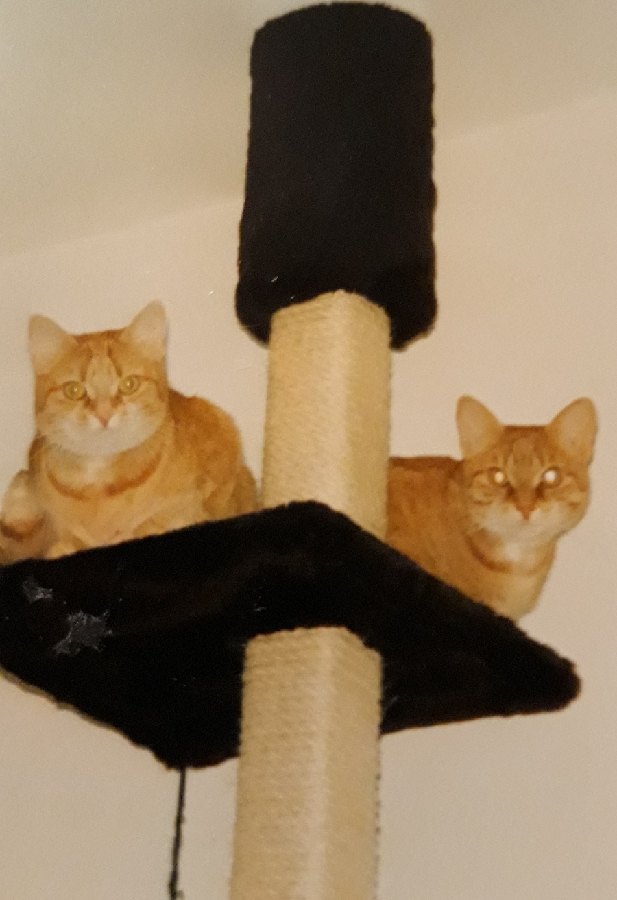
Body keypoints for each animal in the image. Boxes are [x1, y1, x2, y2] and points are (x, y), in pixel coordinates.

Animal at [0, 301, 256, 562]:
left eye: (129, 384)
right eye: (74, 390)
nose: (104, 414)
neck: (98, 485)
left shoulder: (189, 511)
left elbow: (148, 527)